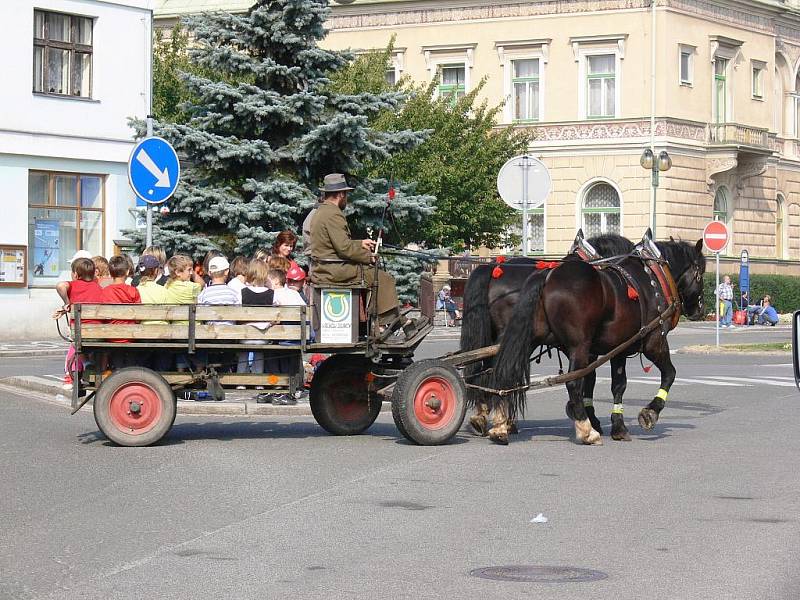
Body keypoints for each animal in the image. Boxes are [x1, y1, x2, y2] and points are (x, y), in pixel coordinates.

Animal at [484, 239, 704, 446]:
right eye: (700, 274)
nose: (699, 310)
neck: (652, 277)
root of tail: (547, 275)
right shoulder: (654, 341)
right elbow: (669, 374)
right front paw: (650, 413)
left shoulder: (618, 349)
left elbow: (617, 385)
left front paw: (618, 426)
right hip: (579, 346)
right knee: (572, 383)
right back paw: (587, 431)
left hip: (530, 339)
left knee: (505, 371)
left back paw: (500, 426)